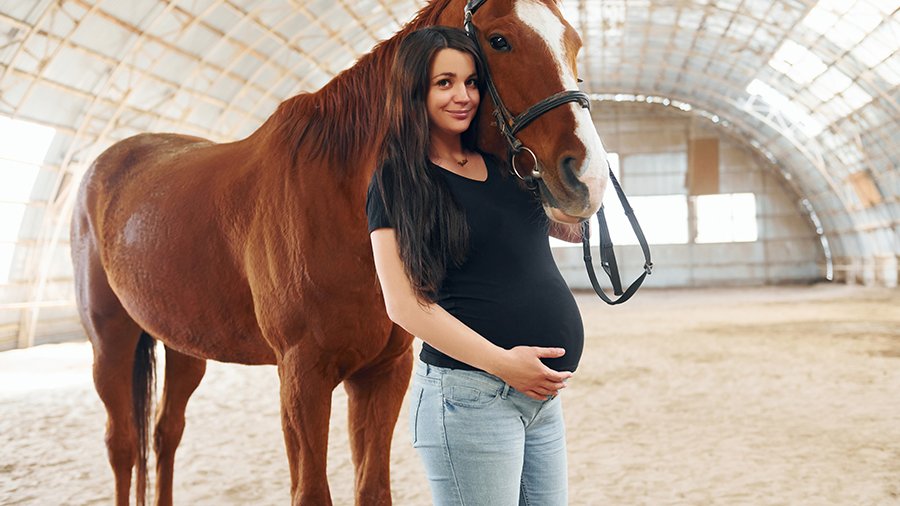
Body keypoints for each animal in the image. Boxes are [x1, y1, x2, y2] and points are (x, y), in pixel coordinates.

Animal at [68, 1, 604, 504]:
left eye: (574, 44)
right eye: (499, 40)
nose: (588, 177)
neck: (340, 197)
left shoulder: (381, 374)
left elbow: (373, 488)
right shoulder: (302, 378)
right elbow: (311, 490)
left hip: (183, 347)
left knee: (165, 433)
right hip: (109, 341)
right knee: (122, 444)